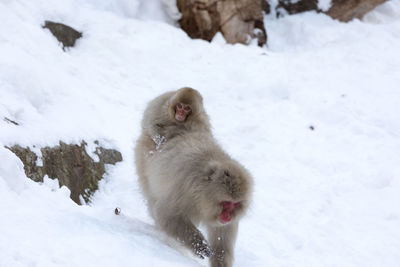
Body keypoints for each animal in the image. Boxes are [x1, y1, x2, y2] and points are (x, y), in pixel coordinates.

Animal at [134, 87, 253, 266]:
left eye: (235, 204)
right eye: (226, 203)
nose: (227, 217)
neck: (203, 191)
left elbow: (222, 239)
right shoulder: (184, 190)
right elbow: (166, 214)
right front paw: (201, 246)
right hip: (144, 161)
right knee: (154, 201)